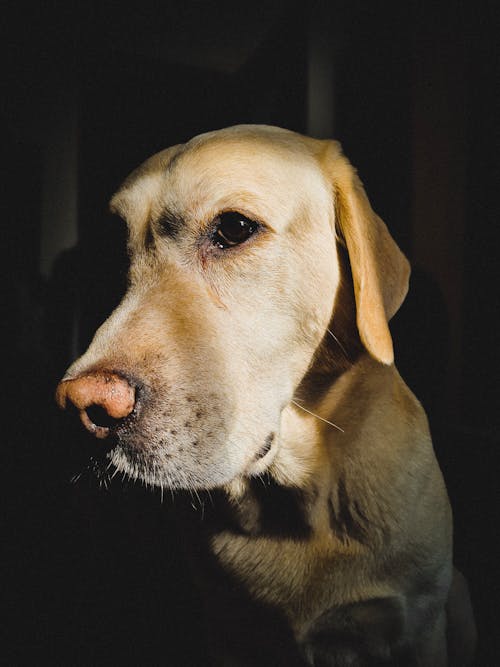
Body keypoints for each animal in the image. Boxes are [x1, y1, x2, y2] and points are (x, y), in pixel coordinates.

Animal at [56, 126, 474, 667]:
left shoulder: (417, 625)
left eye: (234, 228)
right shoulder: (229, 632)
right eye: (113, 260)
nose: (83, 405)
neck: (298, 502)